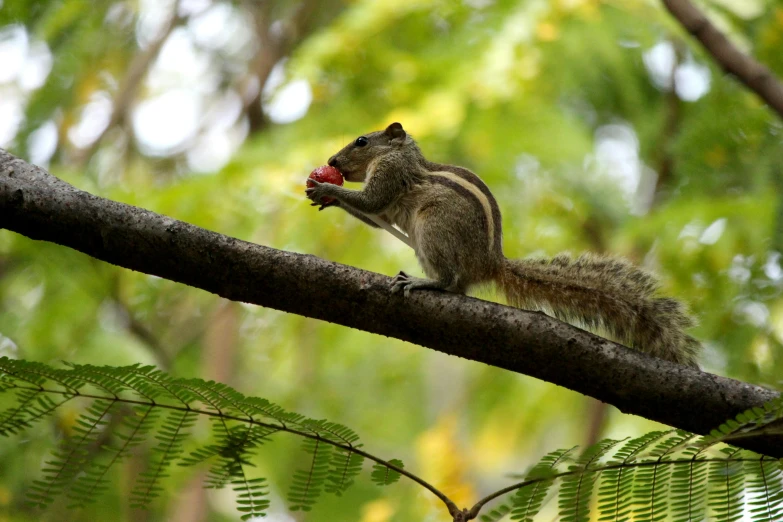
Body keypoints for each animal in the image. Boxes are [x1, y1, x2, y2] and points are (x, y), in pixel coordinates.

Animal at [304, 122, 700, 366]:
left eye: (361, 141)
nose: (331, 161)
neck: (403, 155)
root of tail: (490, 262)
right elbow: (372, 214)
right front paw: (329, 197)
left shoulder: (391, 173)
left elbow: (371, 202)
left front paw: (324, 187)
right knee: (460, 287)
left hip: (434, 229)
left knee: (451, 281)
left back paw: (423, 282)